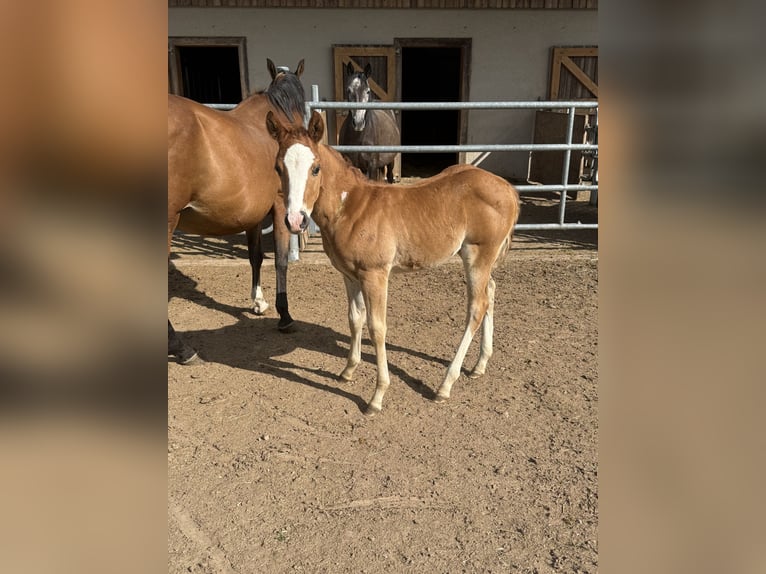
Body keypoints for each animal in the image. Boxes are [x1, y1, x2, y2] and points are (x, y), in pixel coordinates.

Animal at [168, 58, 306, 364]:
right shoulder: (280, 205)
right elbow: (280, 260)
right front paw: (284, 316)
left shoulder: (252, 215)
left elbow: (255, 257)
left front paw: (259, 302)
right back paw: (182, 349)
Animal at [266, 111, 520, 415]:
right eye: (278, 168)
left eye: (315, 168)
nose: (295, 221)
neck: (350, 208)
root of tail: (508, 188)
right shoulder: (349, 275)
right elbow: (354, 318)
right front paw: (348, 370)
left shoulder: (375, 275)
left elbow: (377, 328)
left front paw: (377, 396)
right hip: (480, 258)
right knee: (491, 291)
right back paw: (479, 365)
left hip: (478, 255)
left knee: (477, 307)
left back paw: (445, 384)